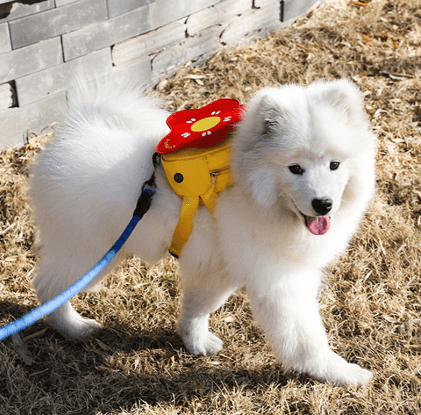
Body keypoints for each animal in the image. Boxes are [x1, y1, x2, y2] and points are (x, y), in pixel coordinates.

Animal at [31, 79, 376, 386]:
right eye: (295, 169)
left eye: (334, 165)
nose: (323, 204)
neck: (245, 185)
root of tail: (73, 130)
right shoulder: (278, 281)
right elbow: (305, 338)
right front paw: (338, 373)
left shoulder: (216, 266)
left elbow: (197, 307)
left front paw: (193, 340)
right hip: (87, 252)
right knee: (48, 288)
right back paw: (74, 327)